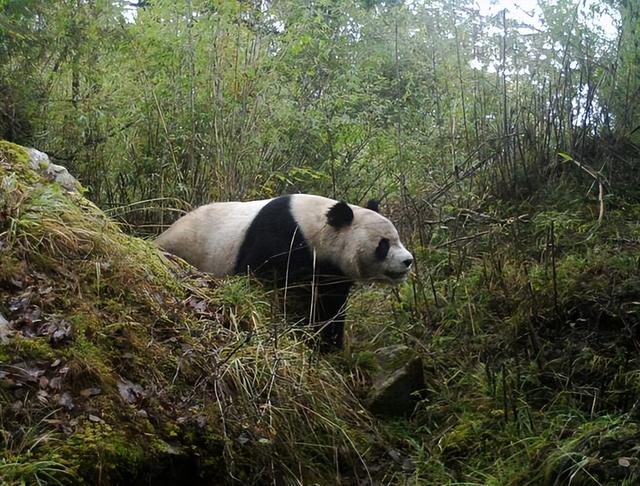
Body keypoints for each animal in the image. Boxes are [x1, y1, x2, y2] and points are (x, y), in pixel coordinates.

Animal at [158, 194, 412, 350]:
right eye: (383, 245)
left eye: (397, 239)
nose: (408, 261)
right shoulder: (279, 237)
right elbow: (255, 281)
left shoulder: (332, 271)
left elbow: (330, 305)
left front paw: (328, 345)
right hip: (191, 247)